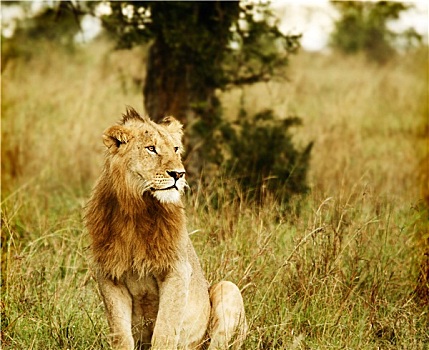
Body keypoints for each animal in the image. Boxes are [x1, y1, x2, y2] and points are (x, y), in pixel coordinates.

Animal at [85, 107, 246, 350]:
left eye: (176, 148)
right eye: (151, 148)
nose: (179, 174)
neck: (136, 208)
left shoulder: (176, 270)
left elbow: (165, 331)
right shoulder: (109, 274)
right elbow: (121, 335)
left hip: (228, 289)